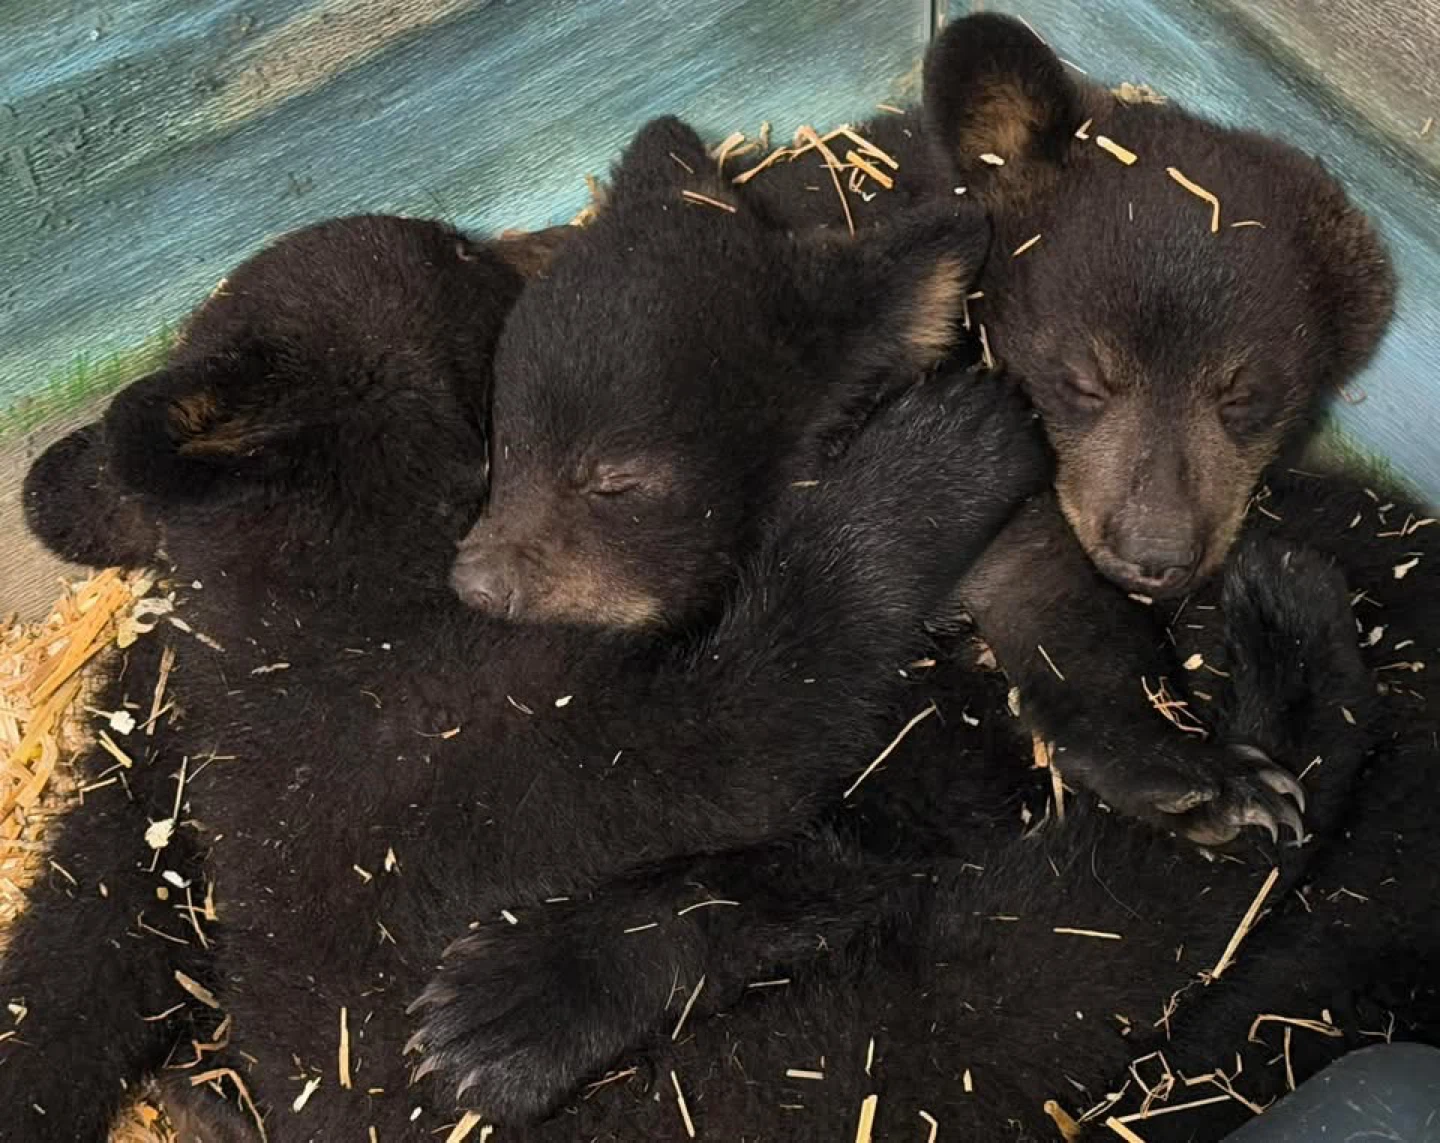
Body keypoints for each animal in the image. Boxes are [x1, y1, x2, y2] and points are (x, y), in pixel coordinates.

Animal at [2, 196, 1043, 1141]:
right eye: (458, 249)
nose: (523, 242)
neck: (313, 594)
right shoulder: (457, 733)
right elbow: (744, 737)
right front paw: (940, 453)